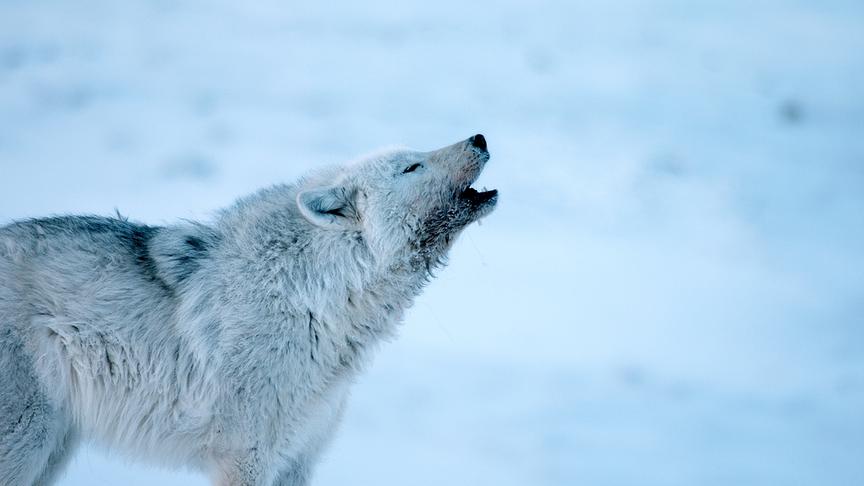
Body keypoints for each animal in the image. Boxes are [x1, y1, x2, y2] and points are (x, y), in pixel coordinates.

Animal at [0, 136, 496, 486]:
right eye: (412, 166)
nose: (479, 137)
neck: (311, 298)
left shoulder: (299, 459)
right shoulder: (246, 459)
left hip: (53, 448)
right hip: (28, 442)